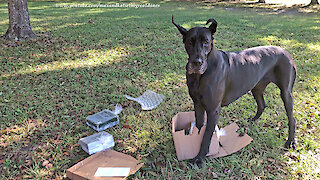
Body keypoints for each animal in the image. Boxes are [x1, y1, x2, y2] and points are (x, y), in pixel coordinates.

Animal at [172, 16, 298, 166]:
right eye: (189, 42)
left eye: (206, 42)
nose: (197, 62)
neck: (200, 76)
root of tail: (286, 52)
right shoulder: (197, 104)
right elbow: (199, 126)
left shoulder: (213, 110)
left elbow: (206, 135)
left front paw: (199, 158)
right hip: (256, 87)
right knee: (262, 105)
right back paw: (252, 121)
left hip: (286, 92)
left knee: (292, 118)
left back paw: (290, 141)